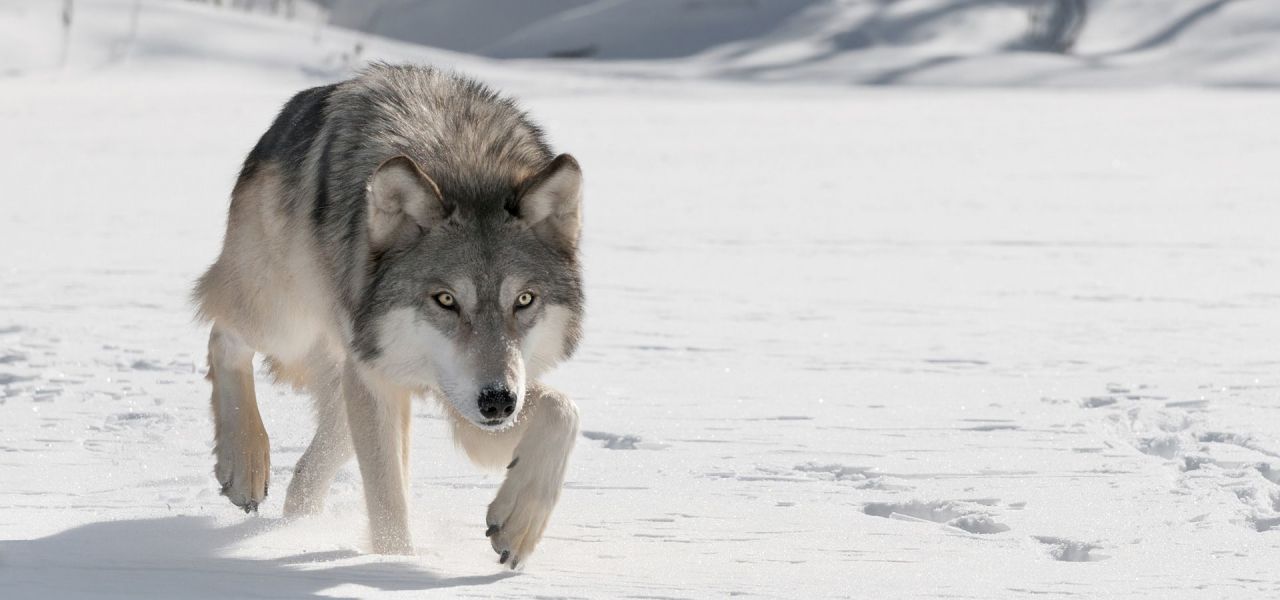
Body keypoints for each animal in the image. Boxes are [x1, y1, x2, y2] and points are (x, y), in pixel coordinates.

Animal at [192, 63, 584, 569]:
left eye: (524, 300)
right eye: (445, 299)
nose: (498, 401)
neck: (464, 164)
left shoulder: (469, 404)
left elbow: (563, 410)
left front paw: (518, 524)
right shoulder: (384, 380)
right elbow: (387, 501)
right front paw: (395, 564)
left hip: (354, 375)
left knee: (317, 458)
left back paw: (296, 525)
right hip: (286, 321)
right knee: (223, 334)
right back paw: (245, 466)